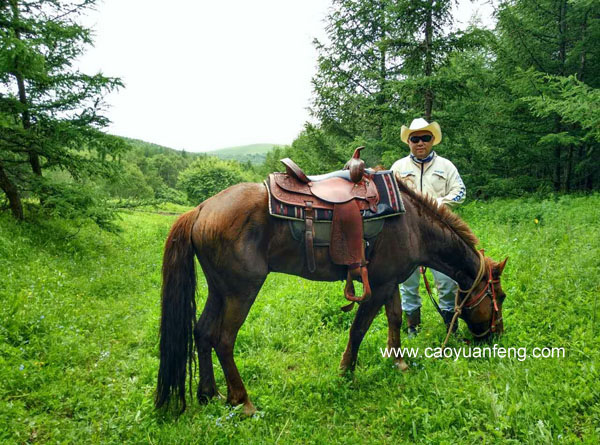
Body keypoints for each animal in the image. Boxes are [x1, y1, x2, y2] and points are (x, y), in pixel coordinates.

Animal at [155, 175, 506, 414]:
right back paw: (243, 402)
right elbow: (359, 328)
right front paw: (346, 371)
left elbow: (394, 318)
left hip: (219, 290)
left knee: (202, 332)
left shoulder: (389, 281)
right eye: (499, 297)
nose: (495, 335)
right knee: (223, 339)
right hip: (241, 291)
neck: (413, 225)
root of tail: (201, 209)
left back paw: (208, 394)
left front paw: (399, 362)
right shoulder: (377, 287)